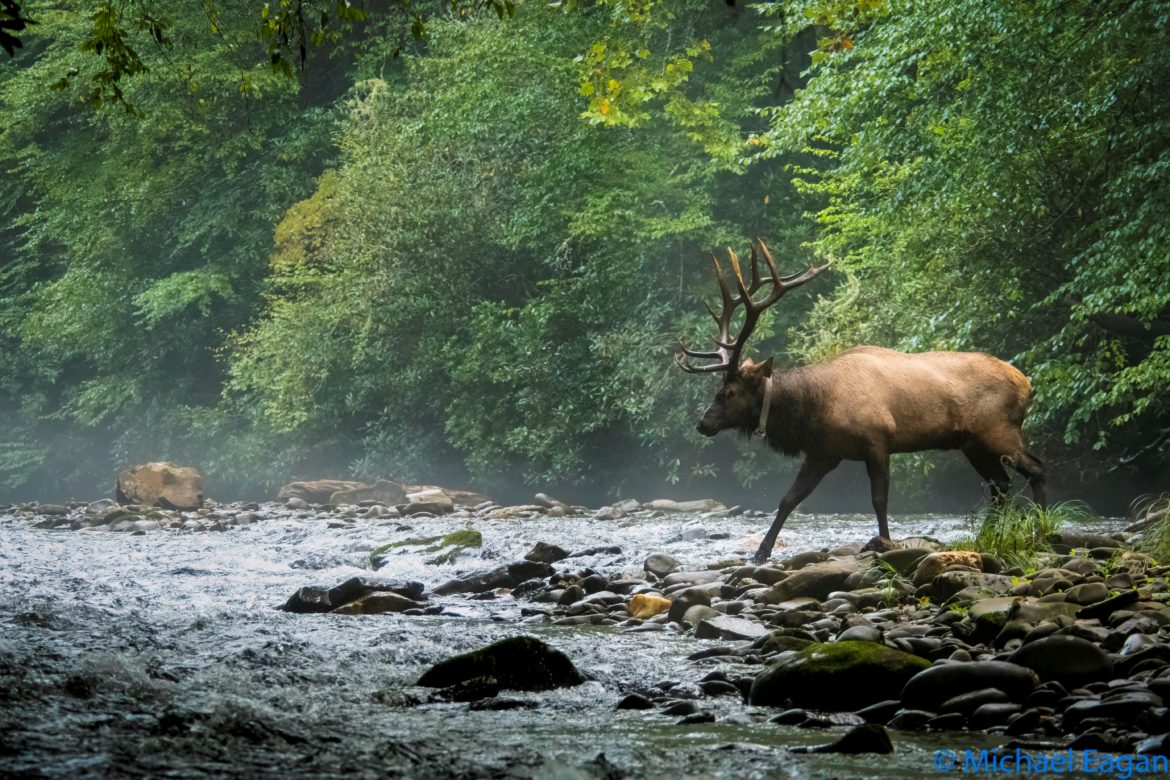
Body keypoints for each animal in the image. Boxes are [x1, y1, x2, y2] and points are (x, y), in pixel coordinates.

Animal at [677, 239, 1047, 564]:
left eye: (729, 393)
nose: (702, 423)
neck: (814, 407)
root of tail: (1027, 384)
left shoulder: (877, 440)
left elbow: (878, 498)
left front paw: (883, 542)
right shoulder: (824, 452)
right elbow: (788, 499)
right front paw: (760, 553)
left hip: (998, 430)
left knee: (1035, 468)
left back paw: (1042, 531)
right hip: (972, 443)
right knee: (1001, 486)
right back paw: (987, 536)